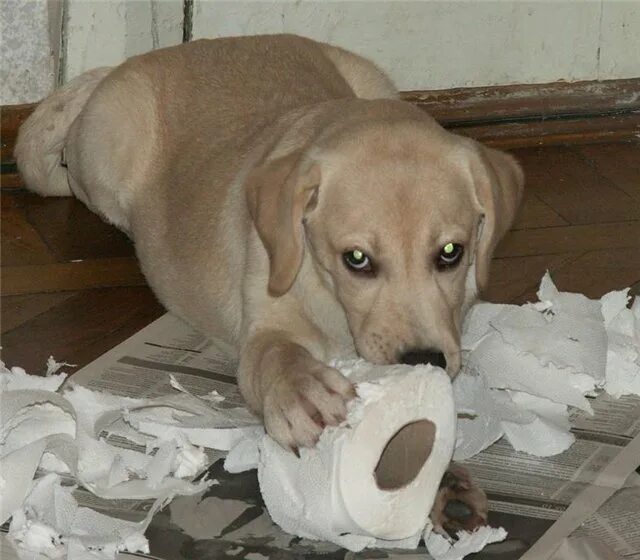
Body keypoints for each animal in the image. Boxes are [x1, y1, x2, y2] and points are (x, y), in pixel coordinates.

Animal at [16, 35, 520, 532]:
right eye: (357, 259)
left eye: (451, 252)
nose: (425, 361)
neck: (331, 303)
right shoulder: (264, 325)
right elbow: (275, 356)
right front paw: (303, 392)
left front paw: (445, 481)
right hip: (106, 155)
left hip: (375, 79)